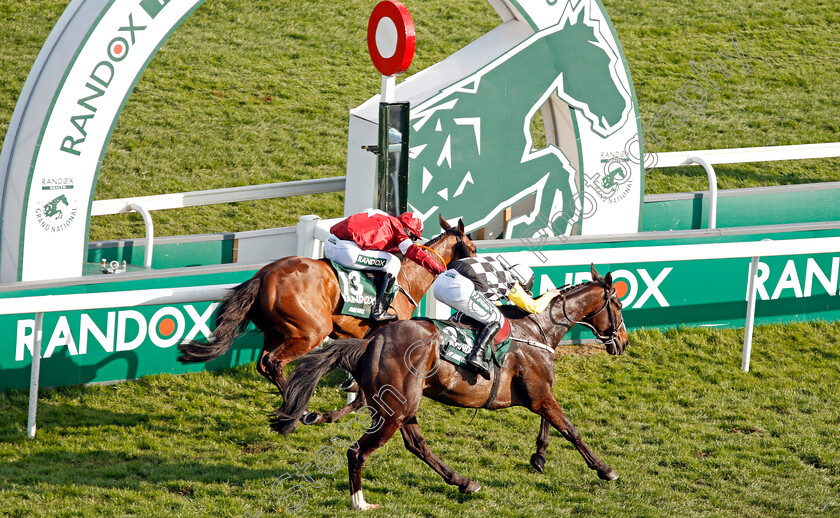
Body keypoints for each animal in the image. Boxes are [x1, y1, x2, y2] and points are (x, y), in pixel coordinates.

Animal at [177, 215, 476, 394]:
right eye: (472, 248)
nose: (475, 268)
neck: (407, 277)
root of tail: (263, 276)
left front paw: (350, 385)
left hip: (275, 331)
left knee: (264, 364)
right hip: (311, 330)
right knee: (274, 362)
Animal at [276, 266, 632, 512]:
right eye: (617, 303)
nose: (623, 342)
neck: (537, 329)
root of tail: (371, 342)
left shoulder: (538, 392)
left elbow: (551, 424)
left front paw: (539, 458)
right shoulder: (540, 393)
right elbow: (570, 430)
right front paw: (605, 470)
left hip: (404, 407)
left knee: (417, 446)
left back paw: (464, 483)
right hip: (396, 409)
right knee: (358, 451)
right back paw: (360, 502)